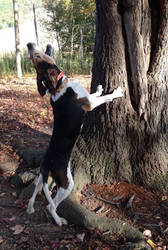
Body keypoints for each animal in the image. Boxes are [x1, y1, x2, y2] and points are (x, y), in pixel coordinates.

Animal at [26, 43, 123, 227]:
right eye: (37, 57)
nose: (29, 45)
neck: (58, 85)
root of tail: (47, 164)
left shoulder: (87, 97)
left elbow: (95, 93)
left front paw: (99, 88)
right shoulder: (89, 104)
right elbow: (104, 98)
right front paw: (116, 93)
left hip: (43, 177)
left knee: (35, 190)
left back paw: (30, 207)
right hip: (67, 183)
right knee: (50, 206)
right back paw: (59, 220)